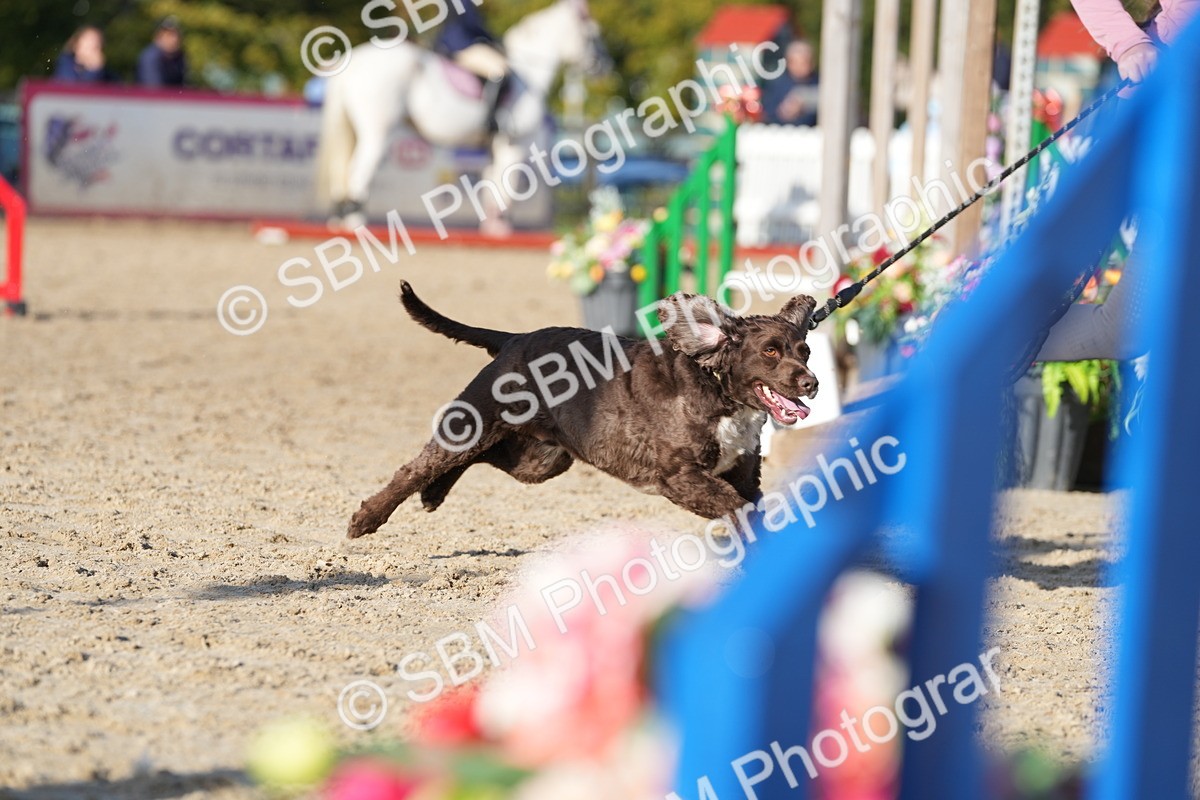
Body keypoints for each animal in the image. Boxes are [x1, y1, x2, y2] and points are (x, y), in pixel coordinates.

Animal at [316, 0, 610, 232]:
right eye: (592, 35)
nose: (604, 66)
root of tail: (353, 60)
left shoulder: (494, 146)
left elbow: (492, 188)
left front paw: (491, 228)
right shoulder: (515, 145)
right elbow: (506, 189)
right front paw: (501, 230)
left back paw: (339, 223)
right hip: (378, 133)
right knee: (357, 174)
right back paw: (356, 224)